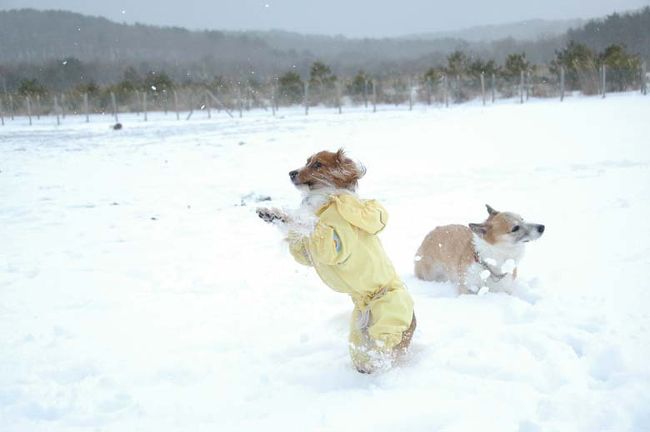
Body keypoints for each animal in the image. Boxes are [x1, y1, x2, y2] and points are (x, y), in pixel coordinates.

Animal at [256, 150, 412, 372]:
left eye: (318, 165)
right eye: (306, 162)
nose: (291, 172)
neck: (327, 198)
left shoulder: (334, 244)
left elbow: (310, 223)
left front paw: (285, 215)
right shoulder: (309, 253)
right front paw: (271, 214)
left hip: (389, 312)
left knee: (384, 348)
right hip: (358, 331)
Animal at [412, 205, 544, 294]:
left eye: (523, 219)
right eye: (515, 228)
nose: (542, 227)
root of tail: (431, 232)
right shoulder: (466, 288)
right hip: (429, 275)